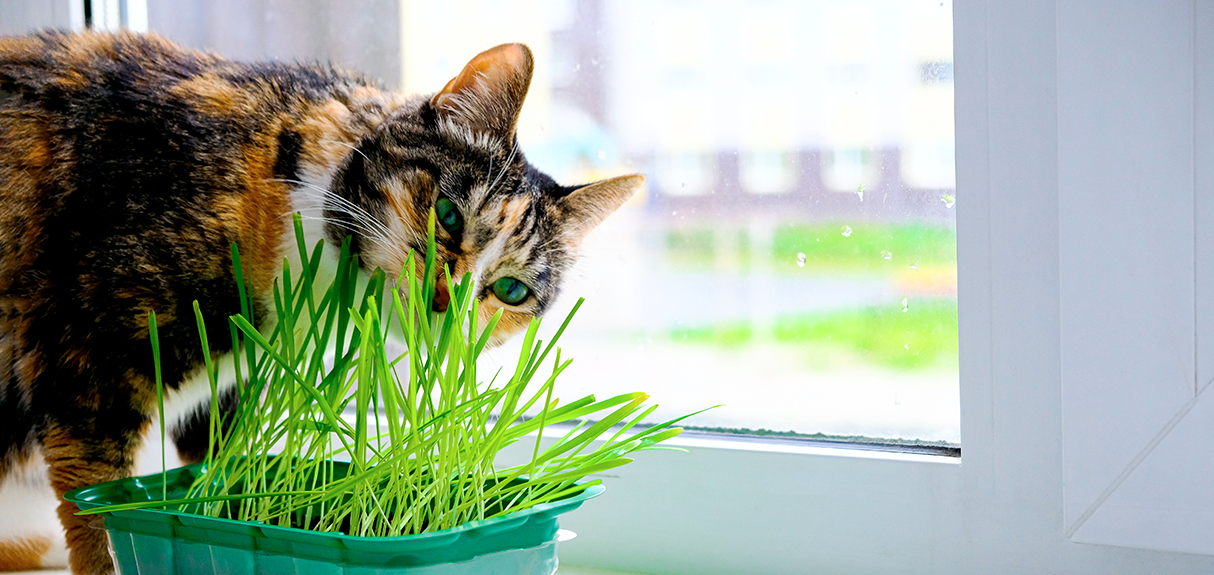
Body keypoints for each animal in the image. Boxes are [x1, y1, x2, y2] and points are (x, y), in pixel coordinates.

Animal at [0, 31, 645, 575]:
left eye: (510, 291)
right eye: (448, 215)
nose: (446, 300)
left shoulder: (222, 397)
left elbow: (223, 473)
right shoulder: (86, 363)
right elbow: (98, 513)